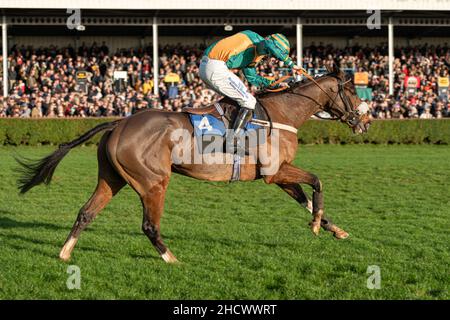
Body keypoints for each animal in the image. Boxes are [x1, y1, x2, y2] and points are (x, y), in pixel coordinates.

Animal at [16, 65, 370, 262]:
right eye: (353, 91)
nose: (365, 121)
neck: (280, 114)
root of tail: (119, 123)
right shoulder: (275, 173)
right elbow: (318, 181)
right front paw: (317, 225)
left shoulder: (279, 175)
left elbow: (306, 198)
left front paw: (335, 229)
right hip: (153, 182)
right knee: (149, 225)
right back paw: (171, 259)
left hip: (112, 178)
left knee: (86, 212)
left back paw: (65, 253)